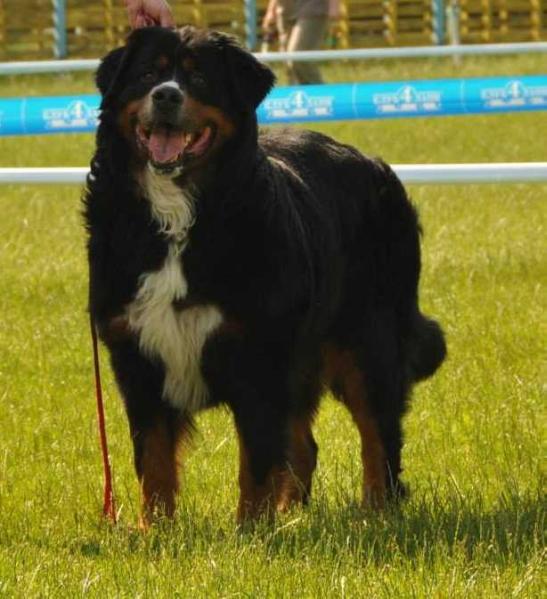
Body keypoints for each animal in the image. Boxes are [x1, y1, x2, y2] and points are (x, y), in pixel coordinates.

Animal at [83, 25, 448, 528]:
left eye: (198, 78)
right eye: (146, 75)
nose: (166, 96)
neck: (179, 214)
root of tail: (372, 162)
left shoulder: (259, 353)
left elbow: (255, 460)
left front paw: (251, 531)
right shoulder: (136, 354)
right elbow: (153, 460)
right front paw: (155, 529)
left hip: (366, 338)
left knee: (380, 435)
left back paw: (375, 512)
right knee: (305, 446)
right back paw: (293, 515)